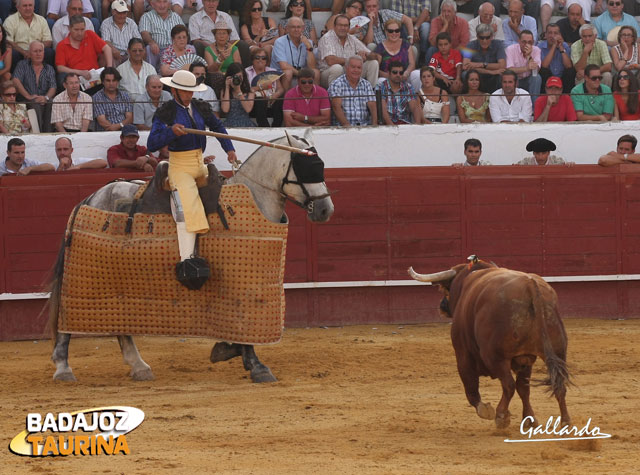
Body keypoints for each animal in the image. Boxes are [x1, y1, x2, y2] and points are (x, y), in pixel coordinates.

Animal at [48, 130, 336, 384]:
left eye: (320, 166)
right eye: (307, 167)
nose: (325, 209)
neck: (253, 197)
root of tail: (89, 198)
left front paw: (226, 349)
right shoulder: (242, 288)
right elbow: (243, 327)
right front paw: (256, 366)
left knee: (120, 323)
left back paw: (139, 366)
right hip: (85, 276)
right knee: (66, 317)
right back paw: (63, 368)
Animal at [408, 258, 572, 430]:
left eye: (446, 290)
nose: (441, 306)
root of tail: (530, 286)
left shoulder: (463, 353)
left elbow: (471, 386)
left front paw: (486, 410)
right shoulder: (525, 359)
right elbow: (523, 389)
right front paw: (529, 419)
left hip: (495, 357)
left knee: (508, 385)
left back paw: (501, 416)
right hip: (558, 351)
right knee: (557, 384)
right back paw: (565, 421)